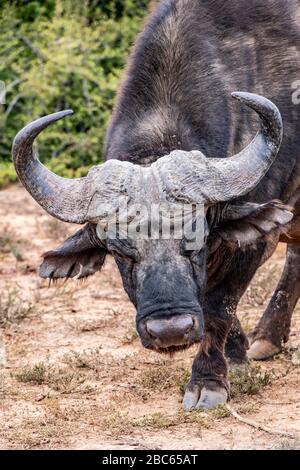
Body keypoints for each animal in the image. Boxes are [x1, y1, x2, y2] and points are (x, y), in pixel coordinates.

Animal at [12, 0, 300, 410]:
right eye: (120, 252)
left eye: (197, 241)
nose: (170, 330)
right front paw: (237, 354)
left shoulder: (255, 242)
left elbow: (218, 306)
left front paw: (208, 381)